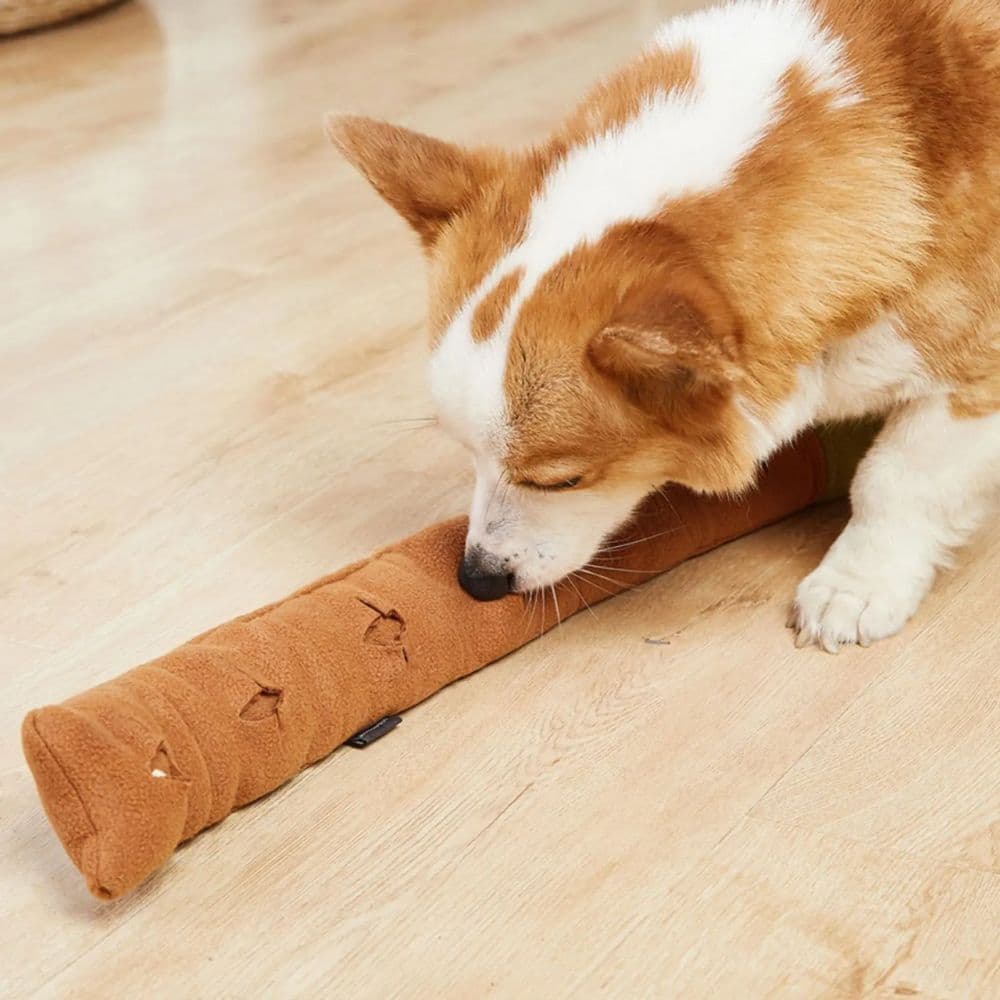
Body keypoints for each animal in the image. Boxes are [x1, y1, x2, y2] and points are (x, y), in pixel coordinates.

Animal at [324, 0, 996, 652]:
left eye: (562, 481)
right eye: (467, 454)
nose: (477, 582)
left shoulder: (971, 388)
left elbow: (897, 480)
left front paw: (853, 589)